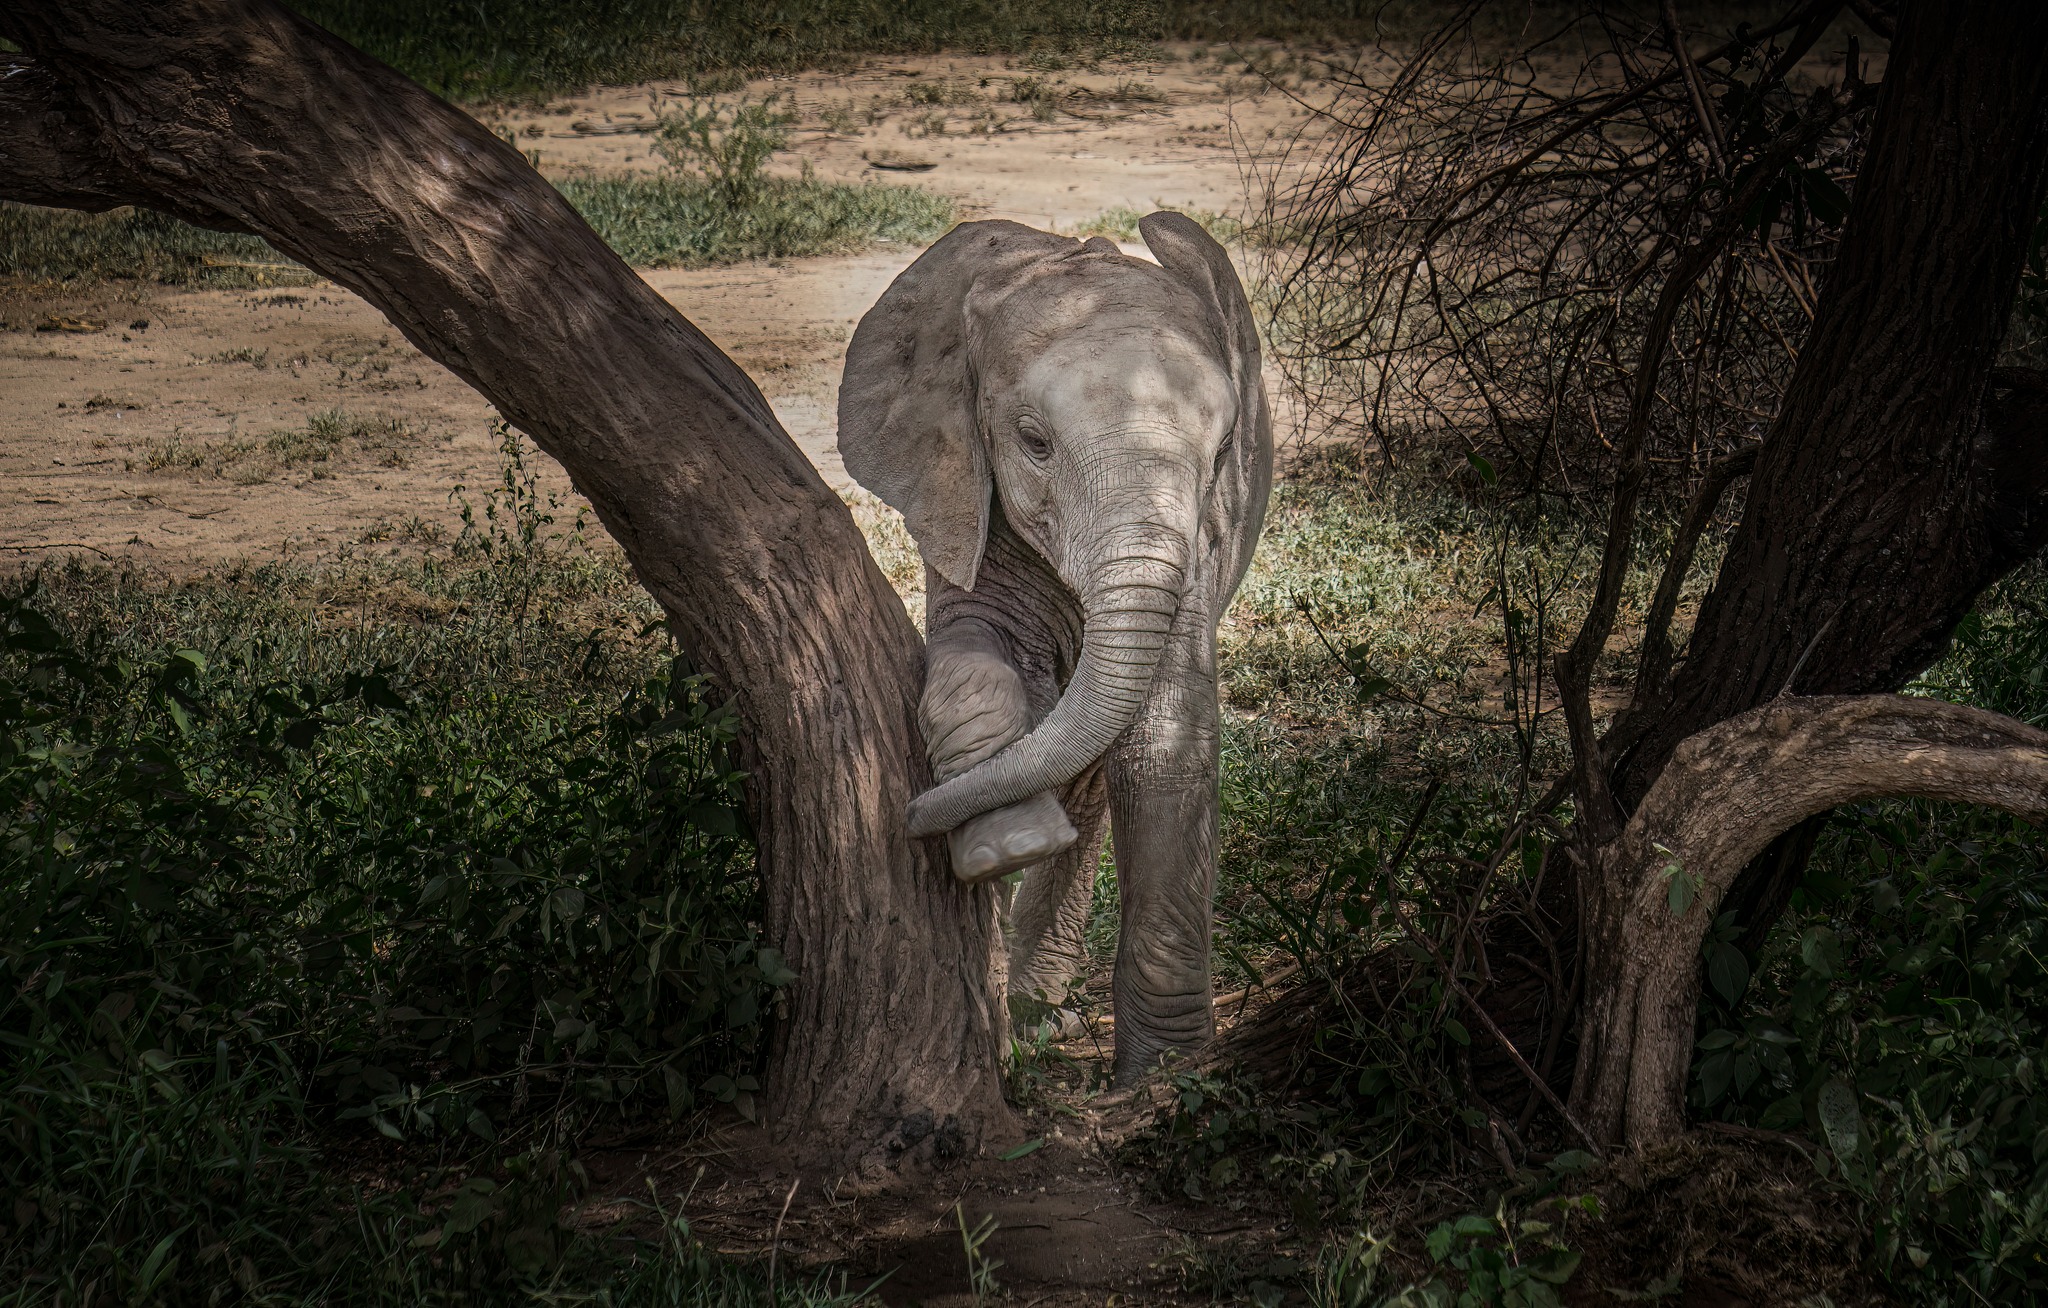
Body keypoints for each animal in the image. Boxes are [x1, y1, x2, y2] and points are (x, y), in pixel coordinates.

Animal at [837, 211, 1273, 1085]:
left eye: (1221, 456)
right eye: (1033, 442)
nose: (905, 816)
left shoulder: (1203, 543)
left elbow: (1162, 743)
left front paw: (1164, 1078)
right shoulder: (958, 489)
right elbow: (970, 660)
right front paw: (1007, 845)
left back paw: (1037, 1011)